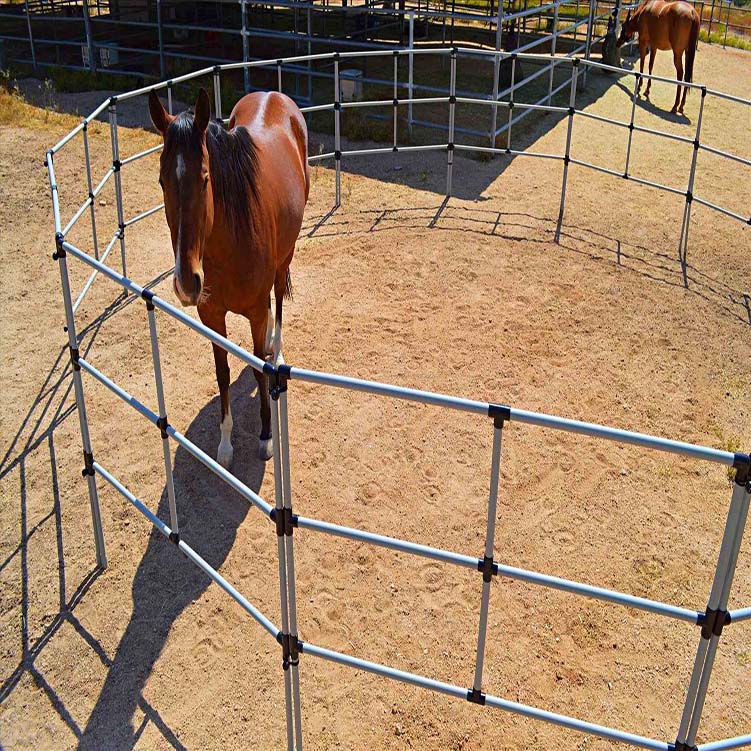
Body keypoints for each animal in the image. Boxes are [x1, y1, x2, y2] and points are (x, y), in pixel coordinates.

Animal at [150, 86, 308, 464]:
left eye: (206, 177)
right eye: (162, 181)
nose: (186, 282)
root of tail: (273, 94)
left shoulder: (254, 313)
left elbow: (259, 369)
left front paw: (266, 436)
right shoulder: (210, 315)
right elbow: (222, 373)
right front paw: (224, 443)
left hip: (286, 258)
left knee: (278, 301)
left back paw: (277, 348)